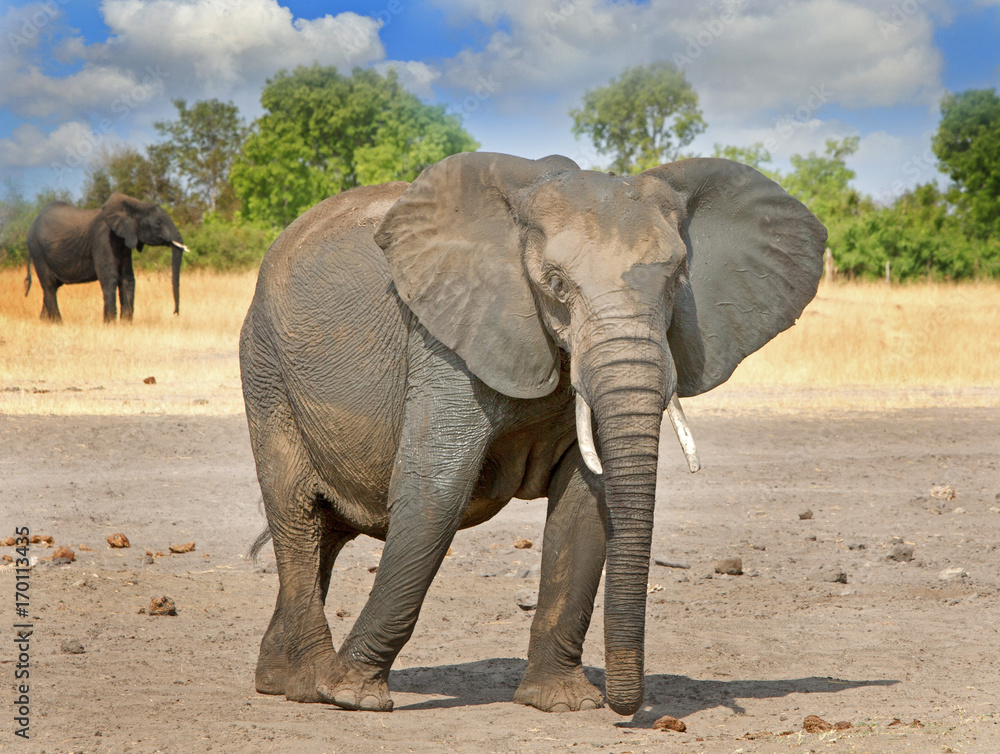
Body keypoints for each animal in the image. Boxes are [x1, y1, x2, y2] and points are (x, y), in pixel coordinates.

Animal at [25, 193, 189, 322]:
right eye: (158, 223)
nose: (175, 313)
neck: (135, 204)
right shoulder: (103, 239)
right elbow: (109, 278)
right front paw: (110, 324)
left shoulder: (124, 241)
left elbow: (127, 278)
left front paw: (126, 324)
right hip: (38, 251)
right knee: (49, 285)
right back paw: (58, 323)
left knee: (52, 286)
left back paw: (45, 322)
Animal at [239, 152, 826, 716]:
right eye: (556, 284)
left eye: (679, 279)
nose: (624, 707)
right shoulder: (446, 334)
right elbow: (437, 487)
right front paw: (352, 697)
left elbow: (585, 504)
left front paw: (563, 703)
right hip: (265, 370)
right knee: (297, 516)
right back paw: (309, 685)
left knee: (327, 529)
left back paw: (276, 679)